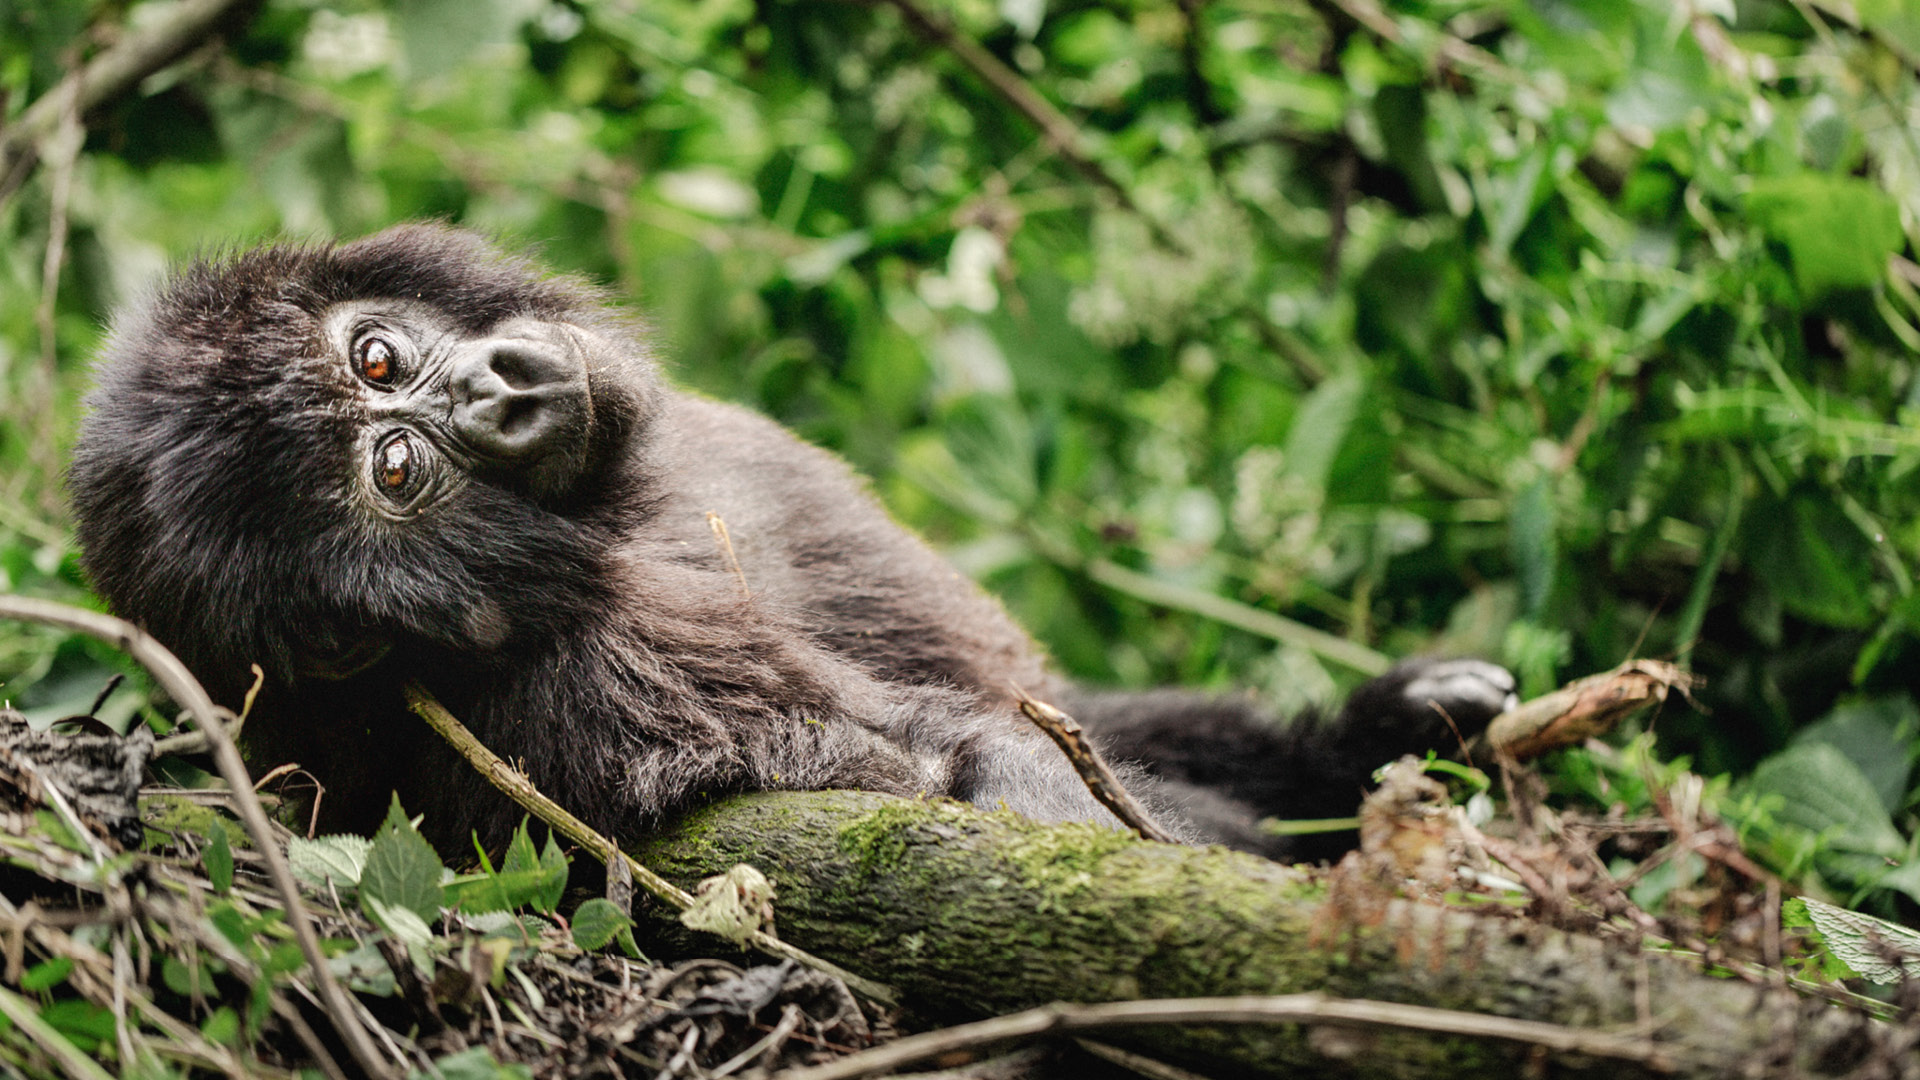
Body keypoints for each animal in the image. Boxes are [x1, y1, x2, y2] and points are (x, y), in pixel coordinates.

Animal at [68, 224, 1515, 860]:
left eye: (376, 357)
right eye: (396, 470)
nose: (497, 393)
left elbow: (1053, 709)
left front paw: (1384, 728)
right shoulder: (557, 694)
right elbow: (942, 778)